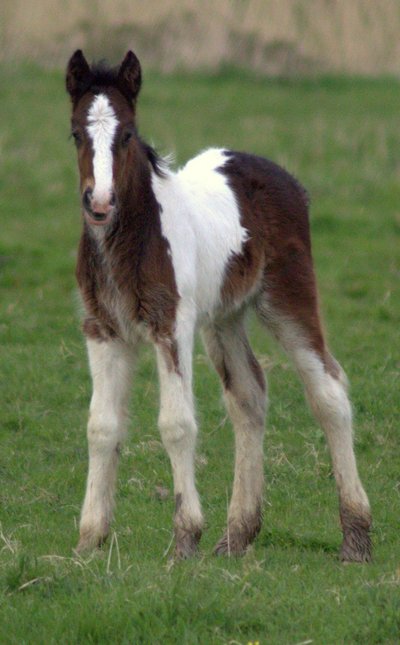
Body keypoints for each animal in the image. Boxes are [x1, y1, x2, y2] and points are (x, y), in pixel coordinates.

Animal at [65, 49, 371, 561]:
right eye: (75, 134)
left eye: (127, 134)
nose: (100, 203)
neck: (132, 238)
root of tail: (288, 179)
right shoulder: (102, 329)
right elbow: (101, 427)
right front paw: (89, 541)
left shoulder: (171, 325)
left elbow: (176, 423)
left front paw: (185, 538)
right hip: (224, 318)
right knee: (248, 396)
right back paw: (237, 535)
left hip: (286, 296)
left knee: (329, 391)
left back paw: (355, 537)